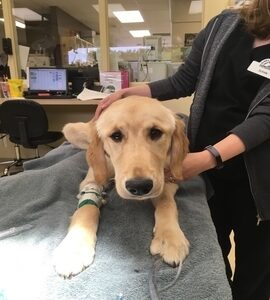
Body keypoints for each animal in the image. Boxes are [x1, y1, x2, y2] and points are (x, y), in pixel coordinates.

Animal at [52, 95, 188, 276]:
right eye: (116, 136)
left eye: (155, 132)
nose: (139, 186)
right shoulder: (91, 180)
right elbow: (87, 207)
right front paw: (74, 248)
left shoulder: (169, 177)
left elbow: (166, 203)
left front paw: (170, 237)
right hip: (70, 129)